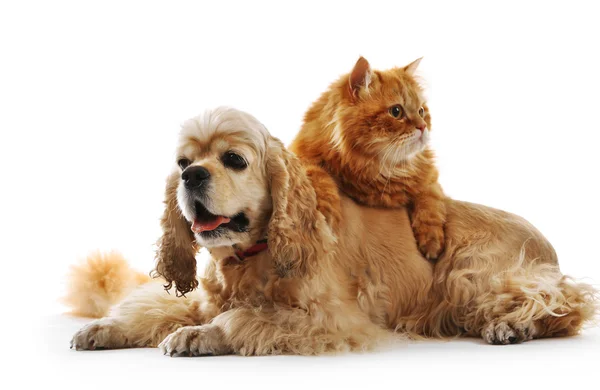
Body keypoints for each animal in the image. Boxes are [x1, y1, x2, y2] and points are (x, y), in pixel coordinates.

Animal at [69, 107, 596, 356]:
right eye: (182, 162)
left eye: (234, 159)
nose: (192, 176)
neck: (253, 255)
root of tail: (547, 242)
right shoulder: (204, 297)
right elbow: (153, 308)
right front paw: (103, 328)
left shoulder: (332, 318)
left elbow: (241, 319)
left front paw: (199, 336)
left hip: (468, 274)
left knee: (564, 303)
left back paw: (512, 325)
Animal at [290, 56, 446, 260]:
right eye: (396, 111)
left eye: (421, 111)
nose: (422, 127)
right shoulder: (300, 155)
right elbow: (320, 177)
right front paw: (327, 217)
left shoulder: (429, 179)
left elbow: (430, 205)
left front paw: (432, 242)